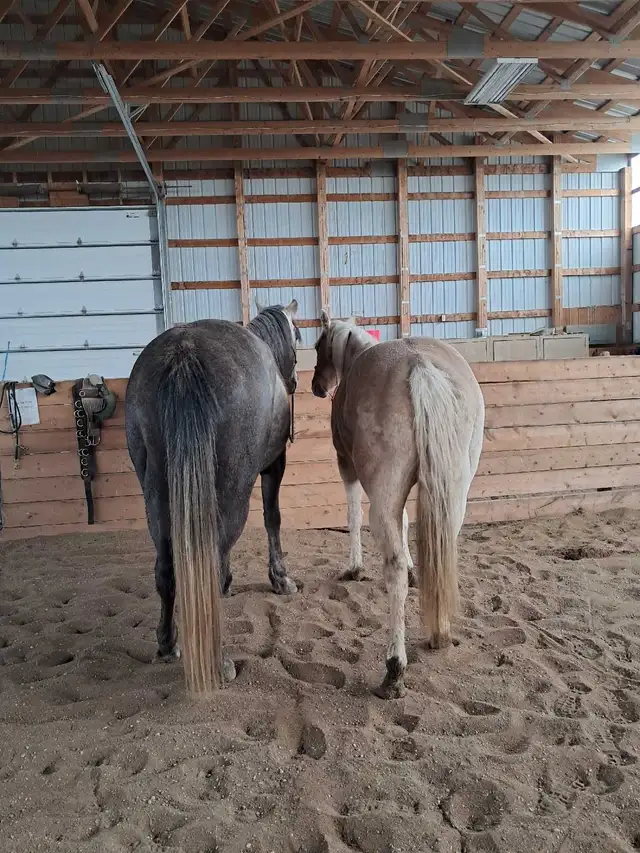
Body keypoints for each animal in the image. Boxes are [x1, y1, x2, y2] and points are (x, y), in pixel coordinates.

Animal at [125, 301, 301, 695]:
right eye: (299, 335)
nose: (296, 380)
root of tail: (184, 353)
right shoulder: (274, 465)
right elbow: (273, 518)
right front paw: (280, 578)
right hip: (233, 486)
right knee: (212, 554)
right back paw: (217, 662)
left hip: (156, 490)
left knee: (167, 567)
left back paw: (168, 643)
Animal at [311, 313, 485, 699]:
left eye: (317, 346)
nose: (316, 386)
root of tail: (418, 364)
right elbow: (406, 523)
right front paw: (413, 566)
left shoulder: (347, 468)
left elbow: (353, 514)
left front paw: (354, 568)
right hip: (454, 493)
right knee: (444, 549)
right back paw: (440, 632)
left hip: (385, 493)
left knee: (393, 572)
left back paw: (394, 668)